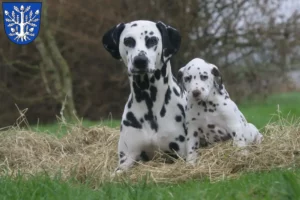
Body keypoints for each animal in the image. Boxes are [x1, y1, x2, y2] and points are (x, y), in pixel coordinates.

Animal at [103, 20, 188, 173]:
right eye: (128, 41)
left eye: (152, 40)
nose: (140, 60)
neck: (149, 100)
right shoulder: (127, 158)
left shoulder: (180, 155)